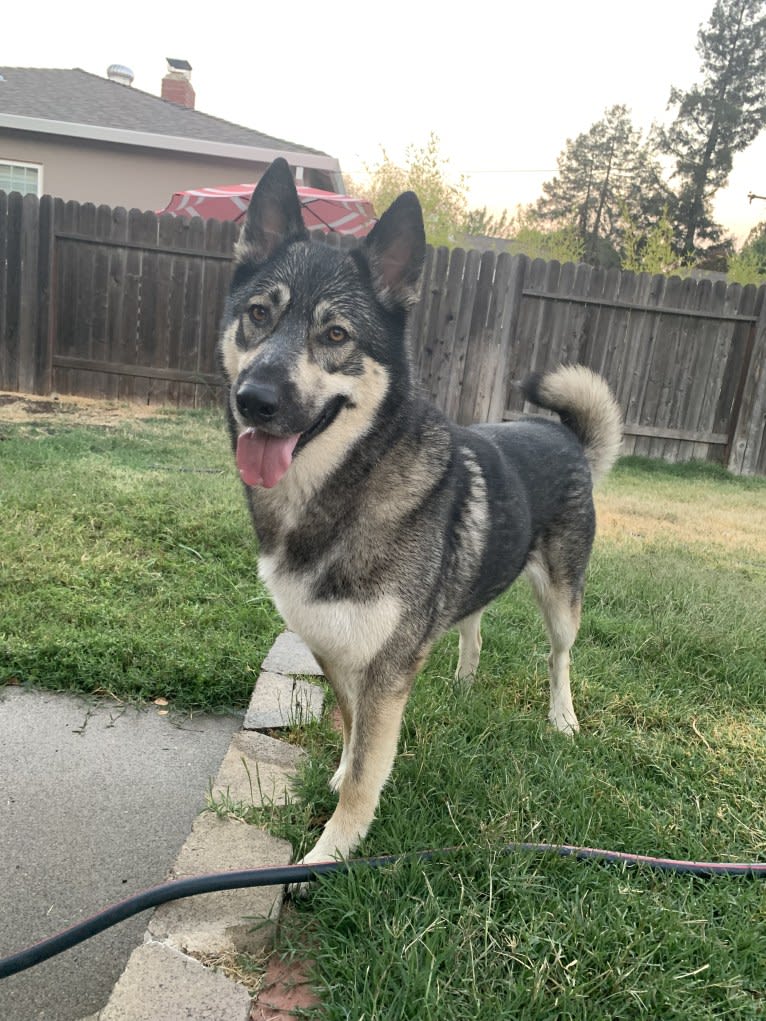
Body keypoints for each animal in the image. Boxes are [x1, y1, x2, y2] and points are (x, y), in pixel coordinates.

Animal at [217, 159, 625, 869]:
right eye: (258, 315)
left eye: (335, 335)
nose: (254, 400)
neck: (347, 484)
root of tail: (566, 437)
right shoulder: (332, 648)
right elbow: (353, 734)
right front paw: (341, 775)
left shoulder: (384, 669)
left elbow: (364, 772)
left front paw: (331, 854)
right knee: (474, 626)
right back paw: (464, 679)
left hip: (562, 599)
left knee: (560, 659)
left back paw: (562, 719)